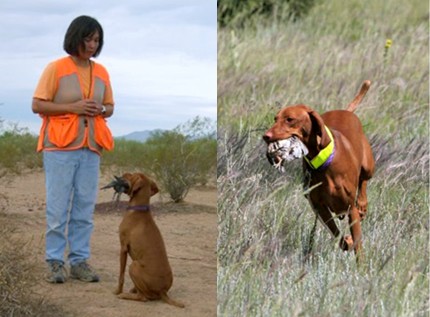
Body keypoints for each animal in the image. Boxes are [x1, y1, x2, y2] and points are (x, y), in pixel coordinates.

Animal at [104, 173, 186, 306]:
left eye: (132, 175)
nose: (123, 174)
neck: (139, 209)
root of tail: (163, 291)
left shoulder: (123, 248)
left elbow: (121, 275)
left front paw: (117, 291)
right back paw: (133, 290)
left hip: (134, 265)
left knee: (143, 298)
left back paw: (125, 295)